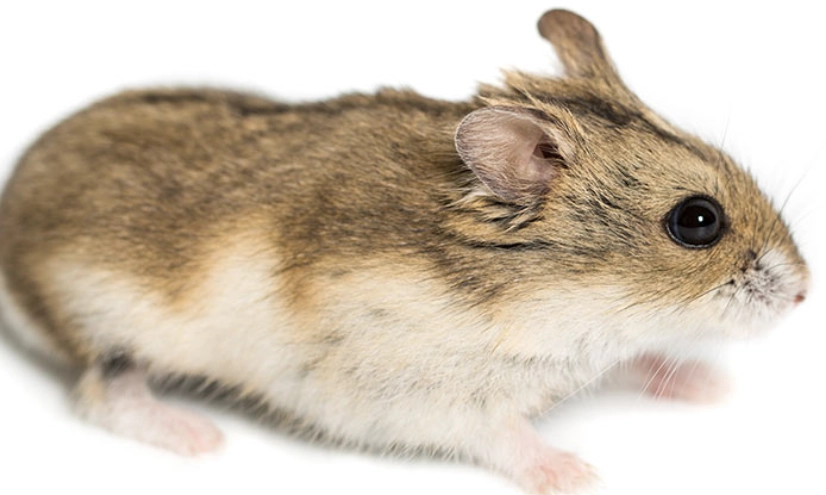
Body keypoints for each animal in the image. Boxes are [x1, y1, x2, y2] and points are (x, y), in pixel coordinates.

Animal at [0, 8, 809, 494]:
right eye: (698, 221)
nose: (804, 292)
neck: (555, 288)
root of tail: (10, 219)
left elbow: (640, 357)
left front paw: (709, 386)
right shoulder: (416, 397)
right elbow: (500, 433)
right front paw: (577, 472)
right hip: (108, 327)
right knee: (105, 391)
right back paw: (199, 436)